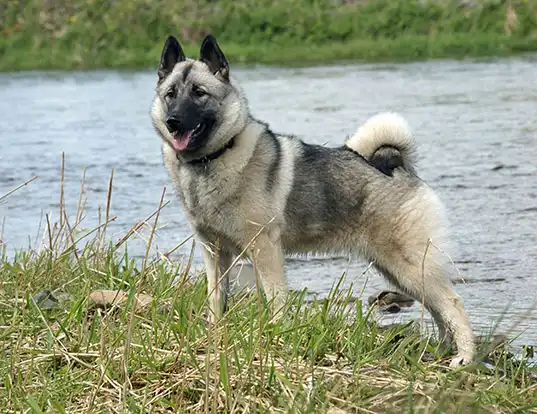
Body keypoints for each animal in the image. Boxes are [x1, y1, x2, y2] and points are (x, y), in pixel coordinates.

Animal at [150, 34, 474, 366]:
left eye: (199, 93)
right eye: (170, 94)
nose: (173, 121)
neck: (213, 158)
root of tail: (397, 166)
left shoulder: (265, 250)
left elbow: (276, 299)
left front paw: (275, 336)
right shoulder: (214, 253)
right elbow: (216, 299)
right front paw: (215, 334)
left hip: (408, 265)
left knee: (452, 303)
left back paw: (464, 358)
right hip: (396, 270)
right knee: (437, 309)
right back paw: (442, 350)